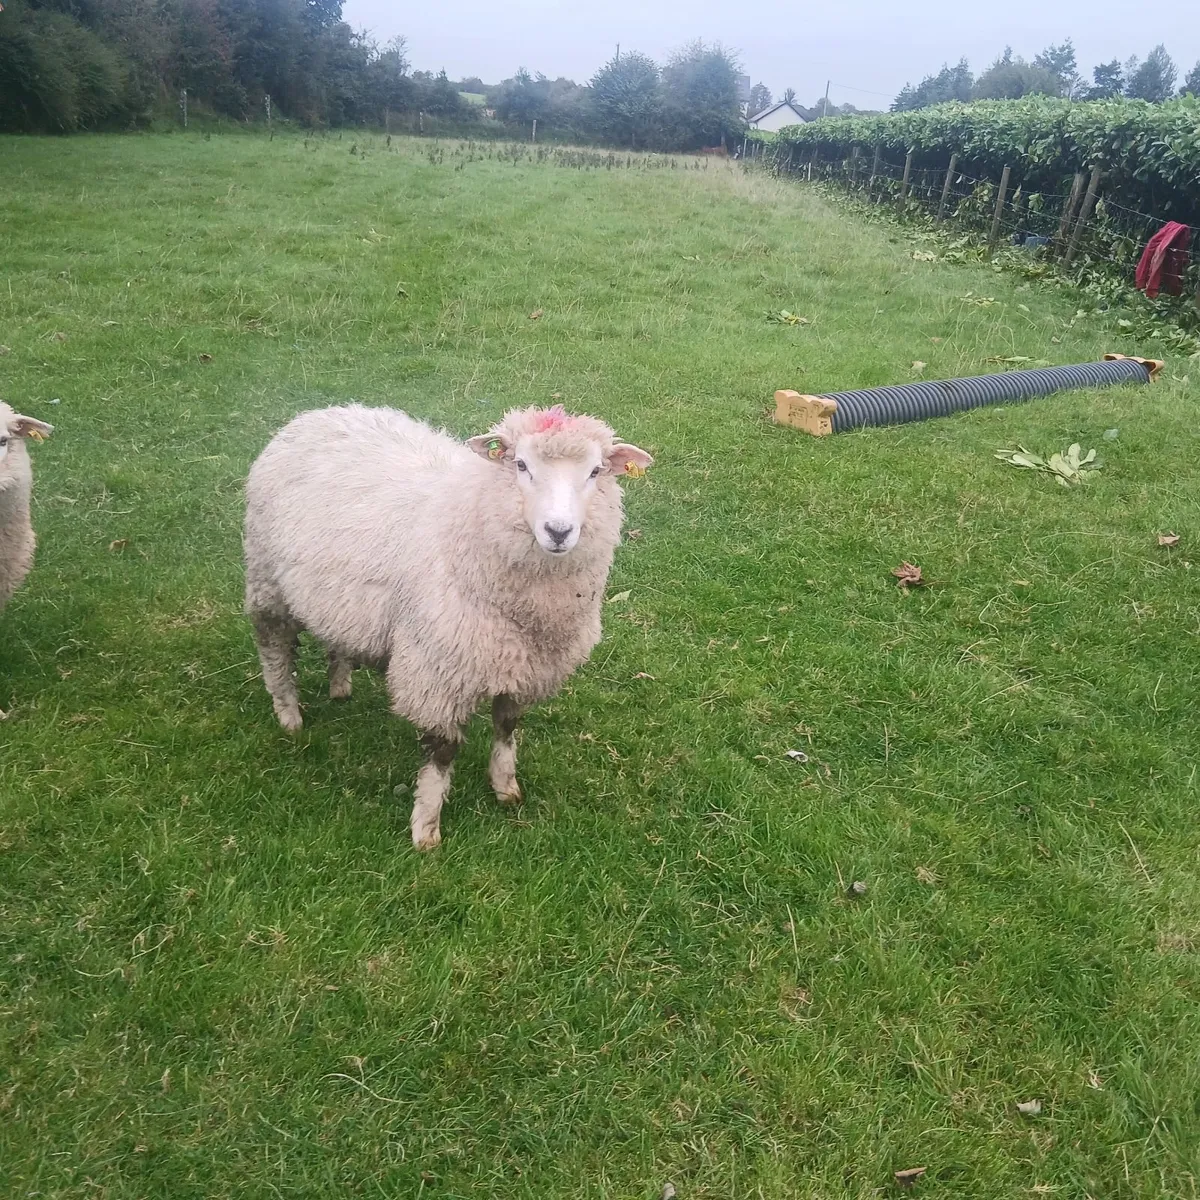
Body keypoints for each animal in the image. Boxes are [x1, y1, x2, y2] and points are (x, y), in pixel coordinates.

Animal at [244, 403, 653, 849]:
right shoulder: (438, 669)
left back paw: (340, 685)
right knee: (274, 648)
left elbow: (506, 727)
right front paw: (426, 827)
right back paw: (289, 715)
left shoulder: (522, 662)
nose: (558, 532)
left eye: (595, 471)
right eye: (521, 465)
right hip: (267, 582)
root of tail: (320, 413)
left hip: (339, 599)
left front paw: (505, 787)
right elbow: (442, 751)